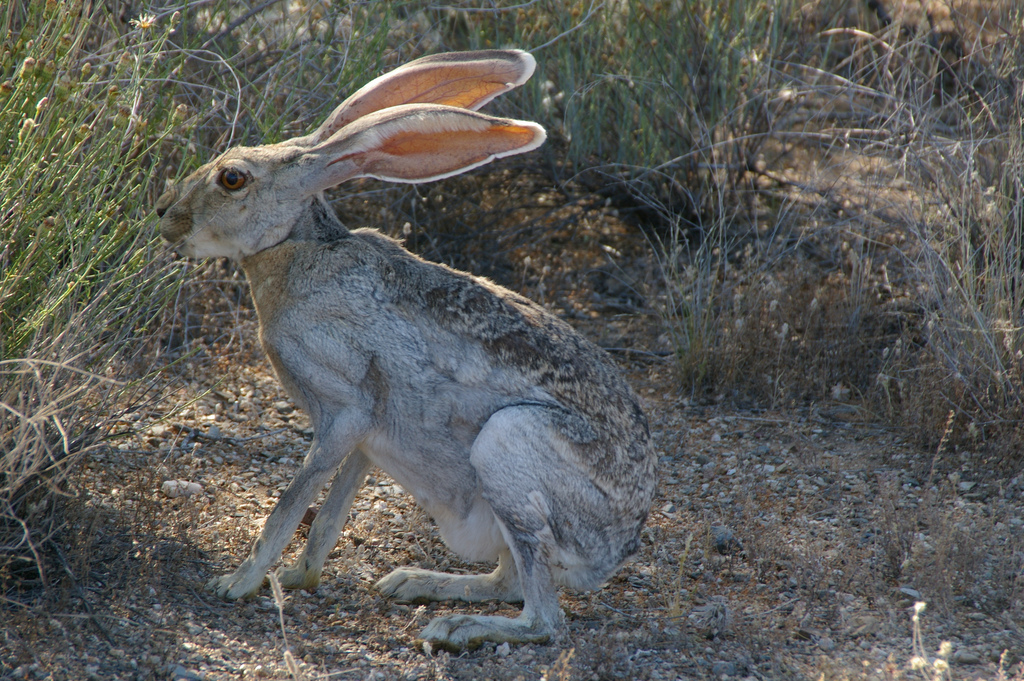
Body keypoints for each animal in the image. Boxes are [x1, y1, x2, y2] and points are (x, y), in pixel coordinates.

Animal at [155, 49, 656, 652]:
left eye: (232, 179)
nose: (164, 216)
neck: (298, 249)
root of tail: (618, 545)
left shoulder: (344, 408)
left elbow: (291, 506)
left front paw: (238, 582)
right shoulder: (367, 437)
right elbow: (329, 516)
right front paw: (300, 577)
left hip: (507, 445)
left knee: (543, 618)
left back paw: (456, 628)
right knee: (509, 581)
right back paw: (415, 582)